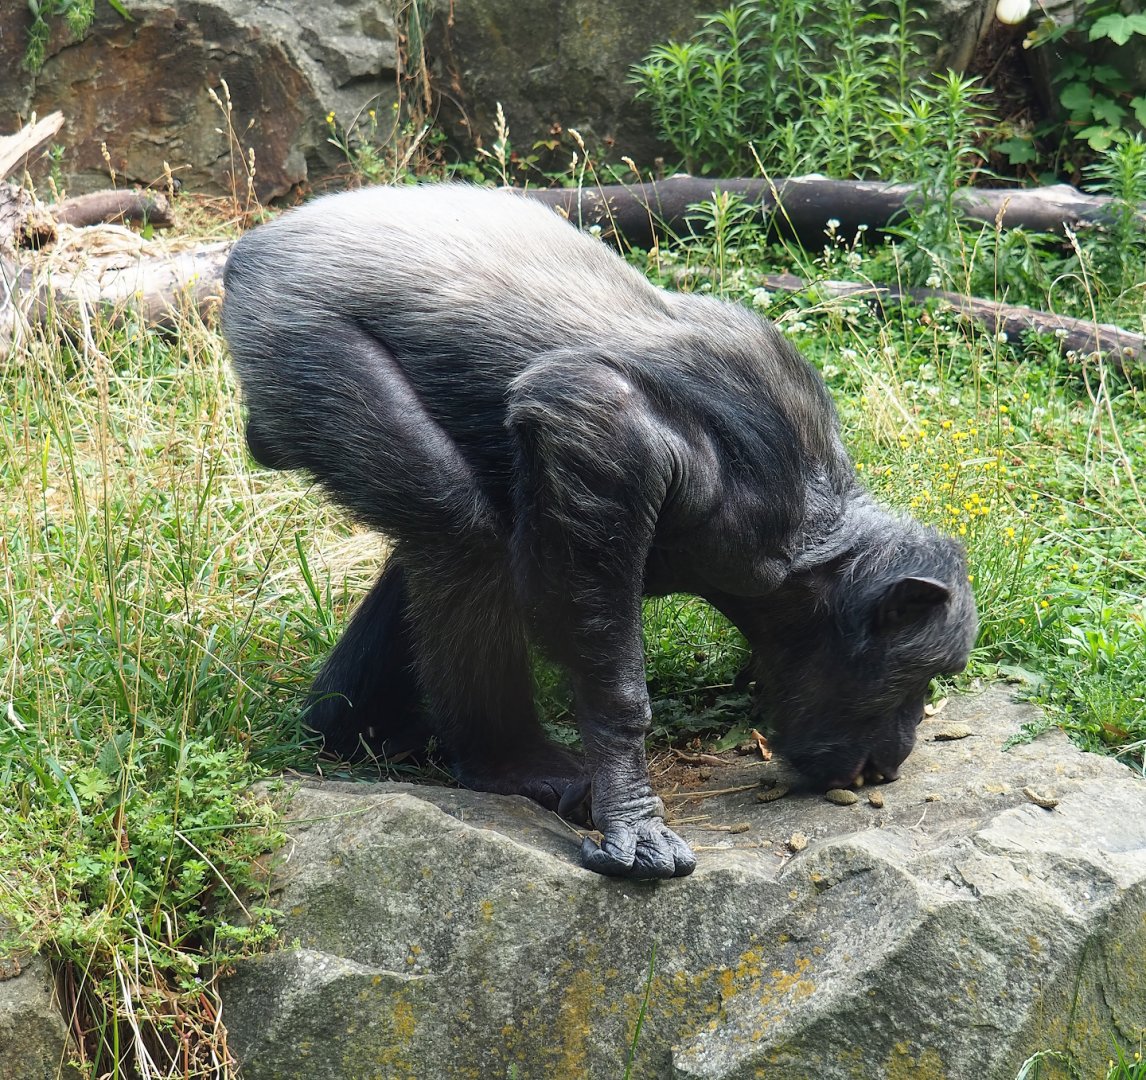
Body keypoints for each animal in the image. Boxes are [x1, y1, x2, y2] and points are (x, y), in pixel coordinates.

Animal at [221, 183, 977, 880]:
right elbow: (592, 411)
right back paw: (511, 762)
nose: (897, 754)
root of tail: (254, 248)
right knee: (459, 534)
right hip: (303, 345)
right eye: (920, 676)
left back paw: (353, 729)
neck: (801, 550)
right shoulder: (697, 466)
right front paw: (631, 809)